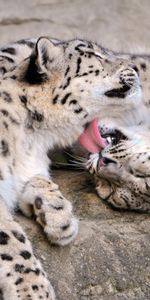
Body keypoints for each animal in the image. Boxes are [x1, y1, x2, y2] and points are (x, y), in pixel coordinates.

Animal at [0, 37, 141, 300]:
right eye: (94, 55)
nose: (136, 67)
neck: (32, 139)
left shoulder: (31, 167)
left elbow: (41, 180)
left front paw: (60, 218)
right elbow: (10, 237)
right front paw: (33, 289)